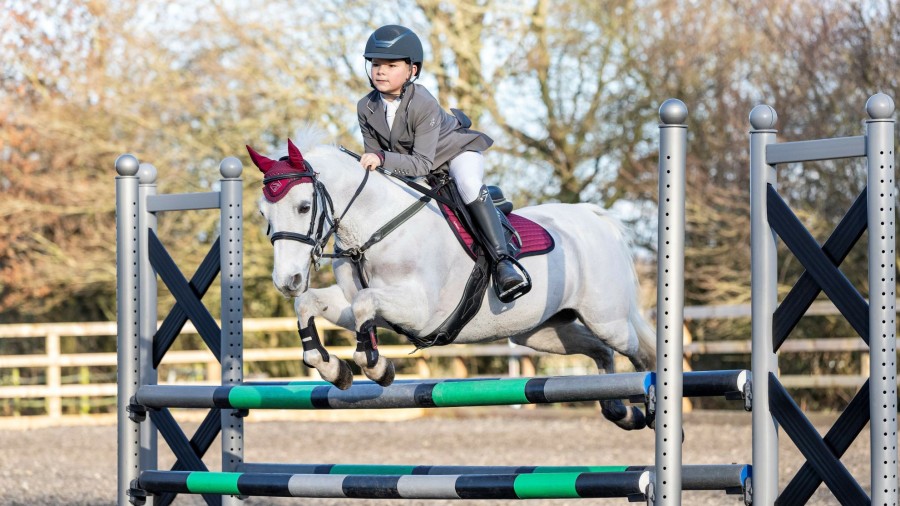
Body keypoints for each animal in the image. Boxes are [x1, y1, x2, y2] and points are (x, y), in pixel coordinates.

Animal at [250, 136, 656, 428]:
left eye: (304, 207)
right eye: (263, 213)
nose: (288, 280)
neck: (377, 227)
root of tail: (592, 216)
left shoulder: (420, 311)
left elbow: (366, 304)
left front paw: (377, 367)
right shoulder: (357, 303)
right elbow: (311, 304)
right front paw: (332, 367)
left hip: (608, 320)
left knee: (639, 354)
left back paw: (647, 409)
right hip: (542, 332)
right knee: (601, 352)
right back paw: (620, 411)